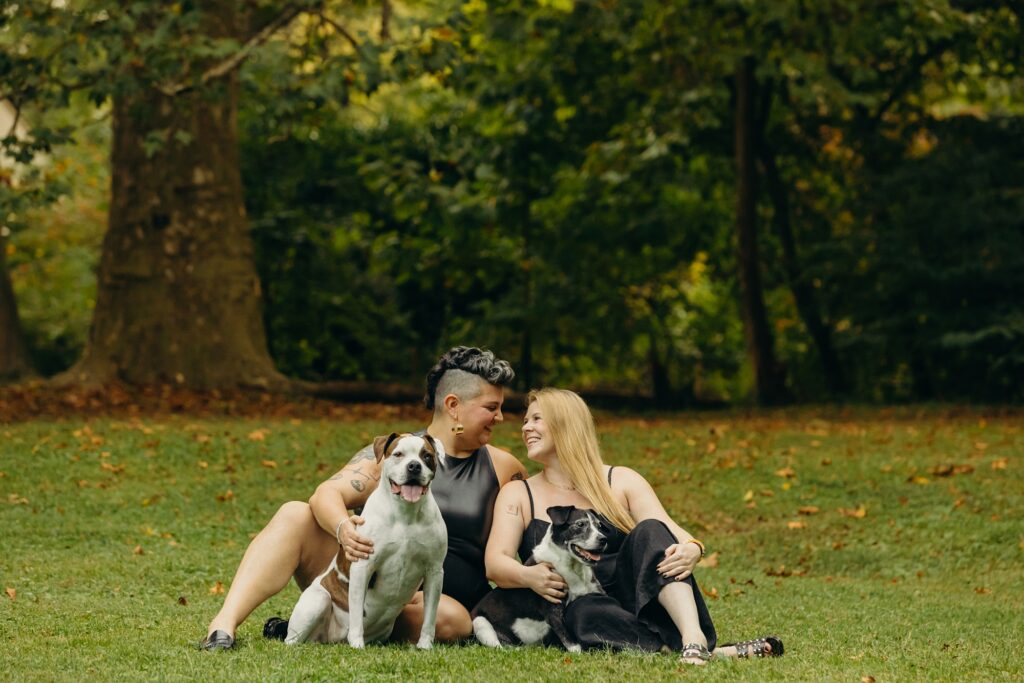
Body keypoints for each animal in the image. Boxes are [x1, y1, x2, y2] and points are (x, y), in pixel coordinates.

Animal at [282, 436, 446, 651]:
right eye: (398, 454)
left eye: (426, 455)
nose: (414, 466)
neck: (406, 514)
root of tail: (331, 639)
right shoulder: (362, 566)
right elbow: (357, 613)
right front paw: (357, 644)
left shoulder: (434, 571)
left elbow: (430, 616)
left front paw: (425, 646)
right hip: (318, 600)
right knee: (292, 638)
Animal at [471, 507, 606, 651]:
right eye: (580, 524)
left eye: (599, 526)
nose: (603, 539)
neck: (572, 568)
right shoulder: (554, 611)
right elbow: (571, 643)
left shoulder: (597, 592)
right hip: (480, 623)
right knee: (499, 647)